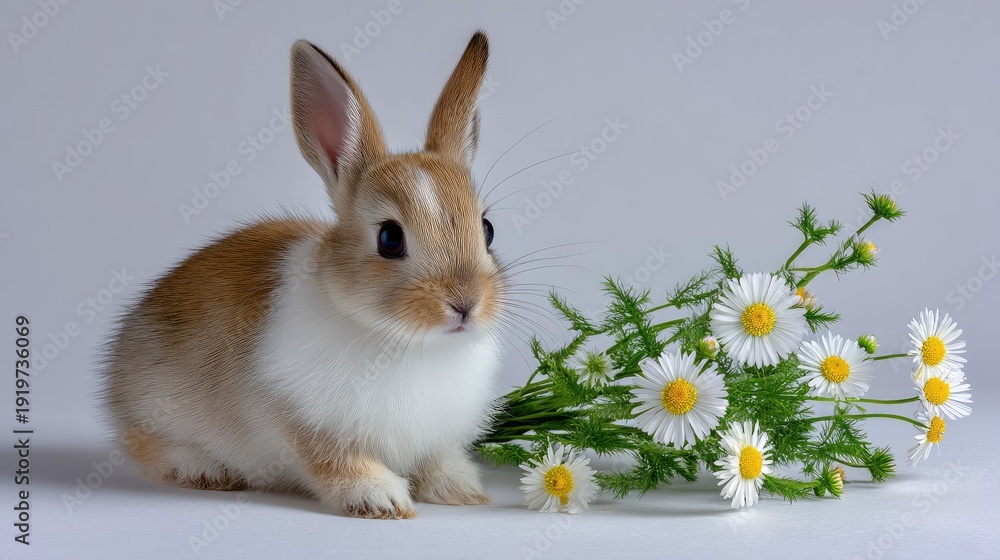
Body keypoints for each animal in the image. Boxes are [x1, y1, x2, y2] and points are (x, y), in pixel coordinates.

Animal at [102, 32, 506, 519]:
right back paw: (206, 470)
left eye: (487, 229)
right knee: (150, 447)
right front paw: (383, 499)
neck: (407, 340)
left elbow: (436, 460)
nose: (466, 304)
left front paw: (460, 489)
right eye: (390, 238)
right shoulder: (298, 419)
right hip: (154, 412)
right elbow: (335, 461)